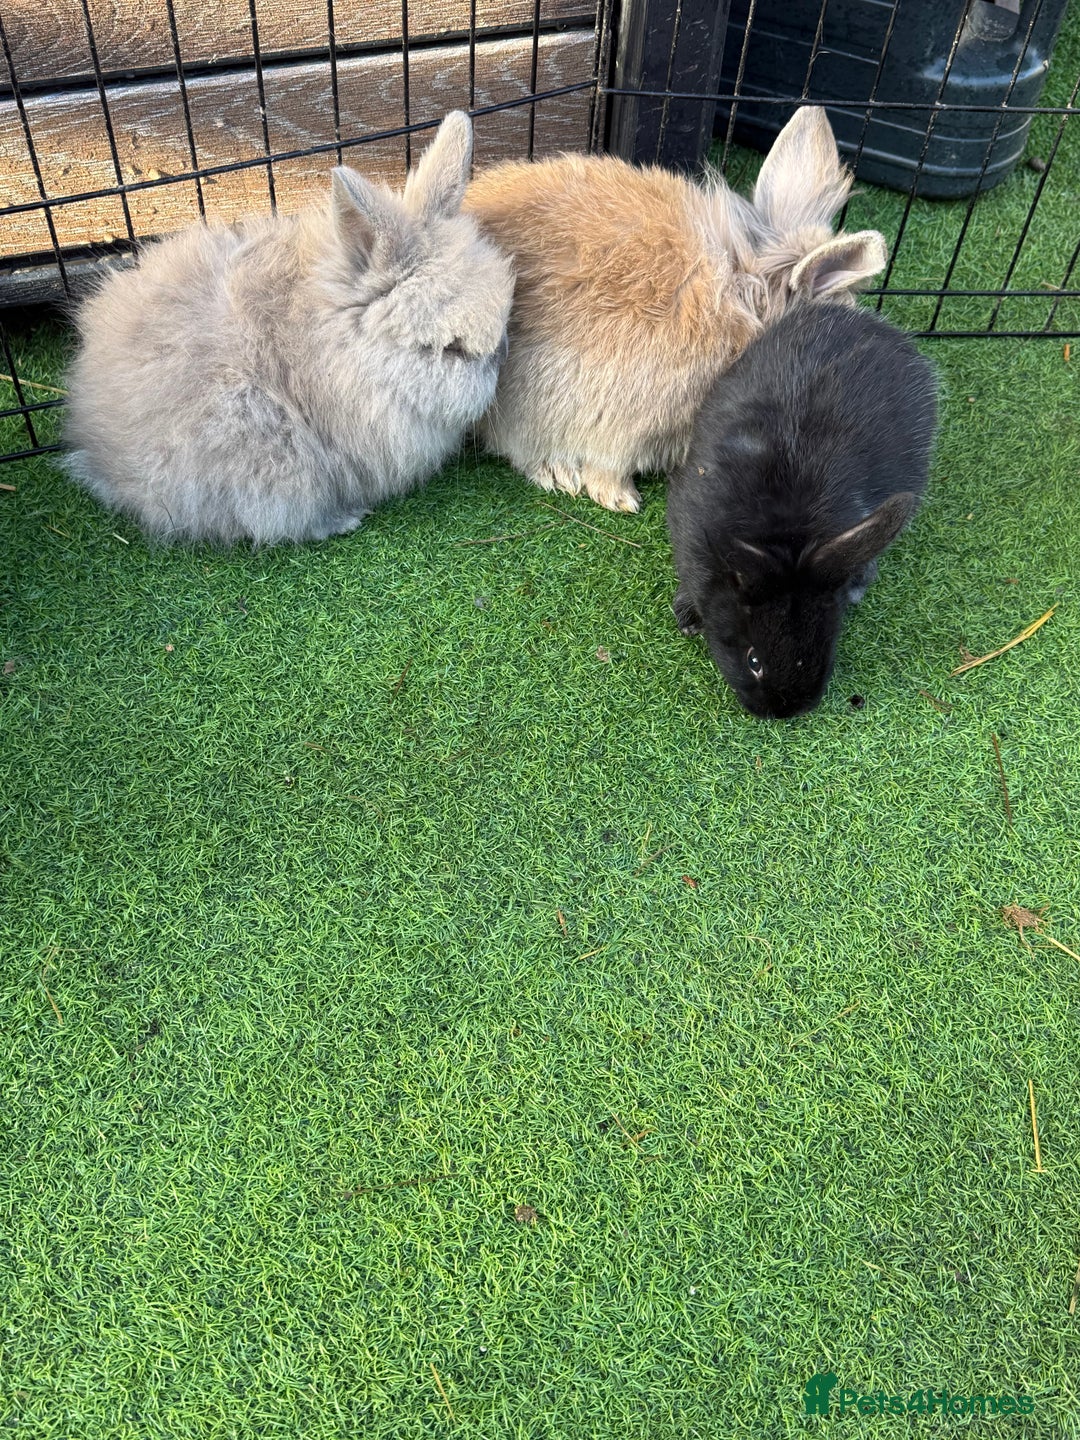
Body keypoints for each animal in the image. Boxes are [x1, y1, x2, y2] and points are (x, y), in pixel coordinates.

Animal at [666, 302, 938, 719]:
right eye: (754, 661)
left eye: (826, 642)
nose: (784, 712)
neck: (784, 536)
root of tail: (875, 326)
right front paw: (688, 618)